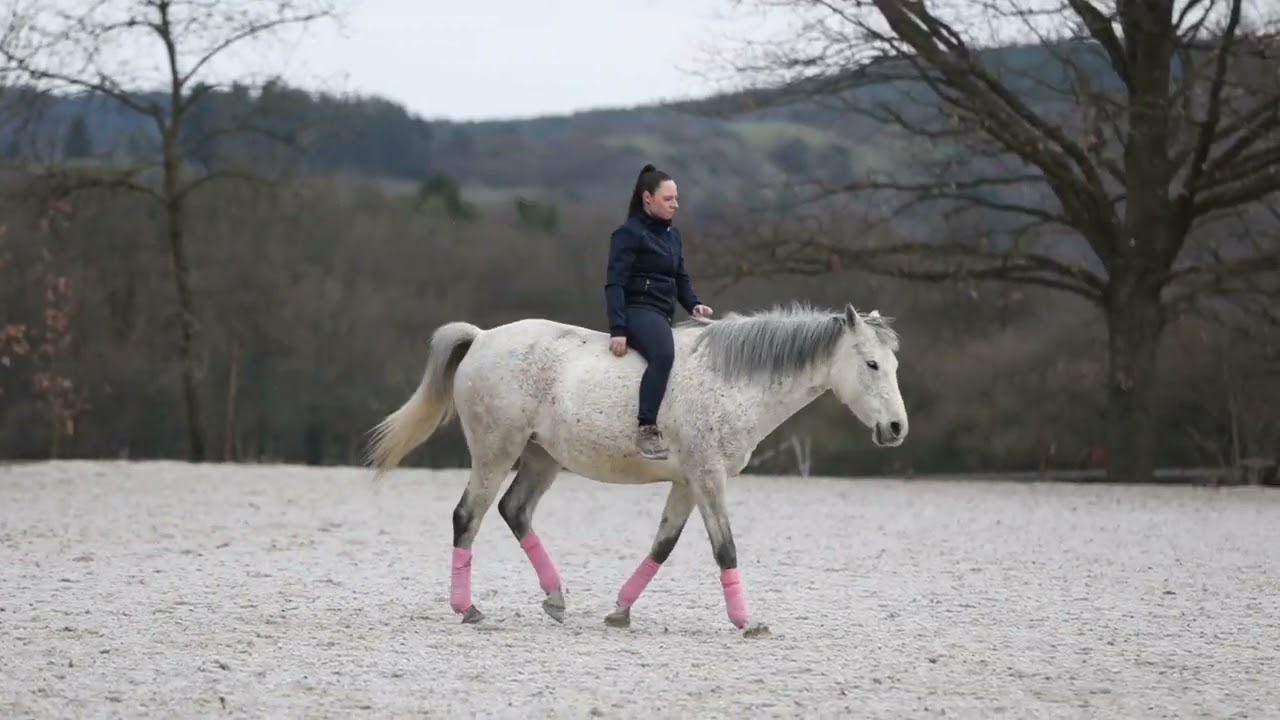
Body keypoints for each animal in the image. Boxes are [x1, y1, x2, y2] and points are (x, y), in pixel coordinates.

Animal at [364, 302, 908, 638]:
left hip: (542, 458)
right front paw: (746, 622)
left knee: (514, 511)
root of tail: (481, 339)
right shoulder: (708, 478)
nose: (896, 428)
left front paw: (620, 611)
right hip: (495, 452)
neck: (732, 381)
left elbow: (663, 546)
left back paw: (555, 599)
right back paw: (469, 609)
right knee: (467, 516)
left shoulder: (687, 483)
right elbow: (725, 548)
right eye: (872, 365)